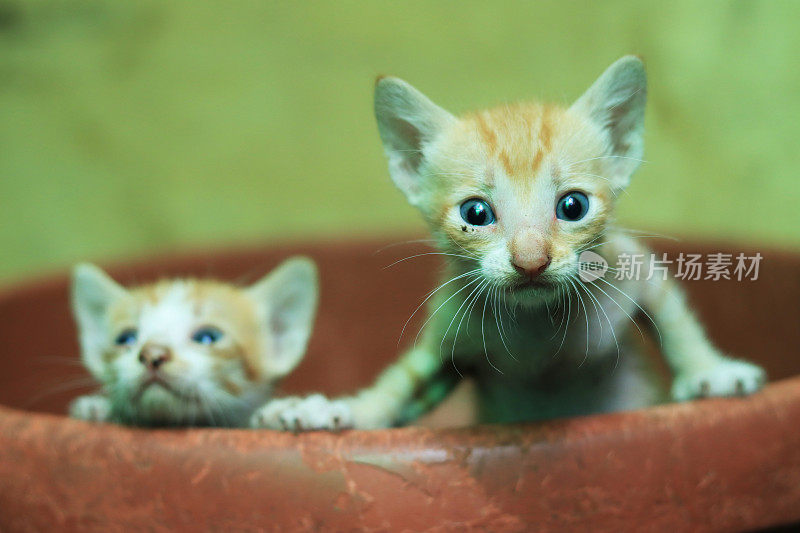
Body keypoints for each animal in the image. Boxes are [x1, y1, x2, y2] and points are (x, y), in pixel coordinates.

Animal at [253, 56, 764, 430]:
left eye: (573, 206)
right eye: (475, 214)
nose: (531, 260)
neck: (536, 324)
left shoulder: (631, 265)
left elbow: (675, 319)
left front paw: (709, 372)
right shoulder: (449, 330)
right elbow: (400, 385)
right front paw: (336, 411)